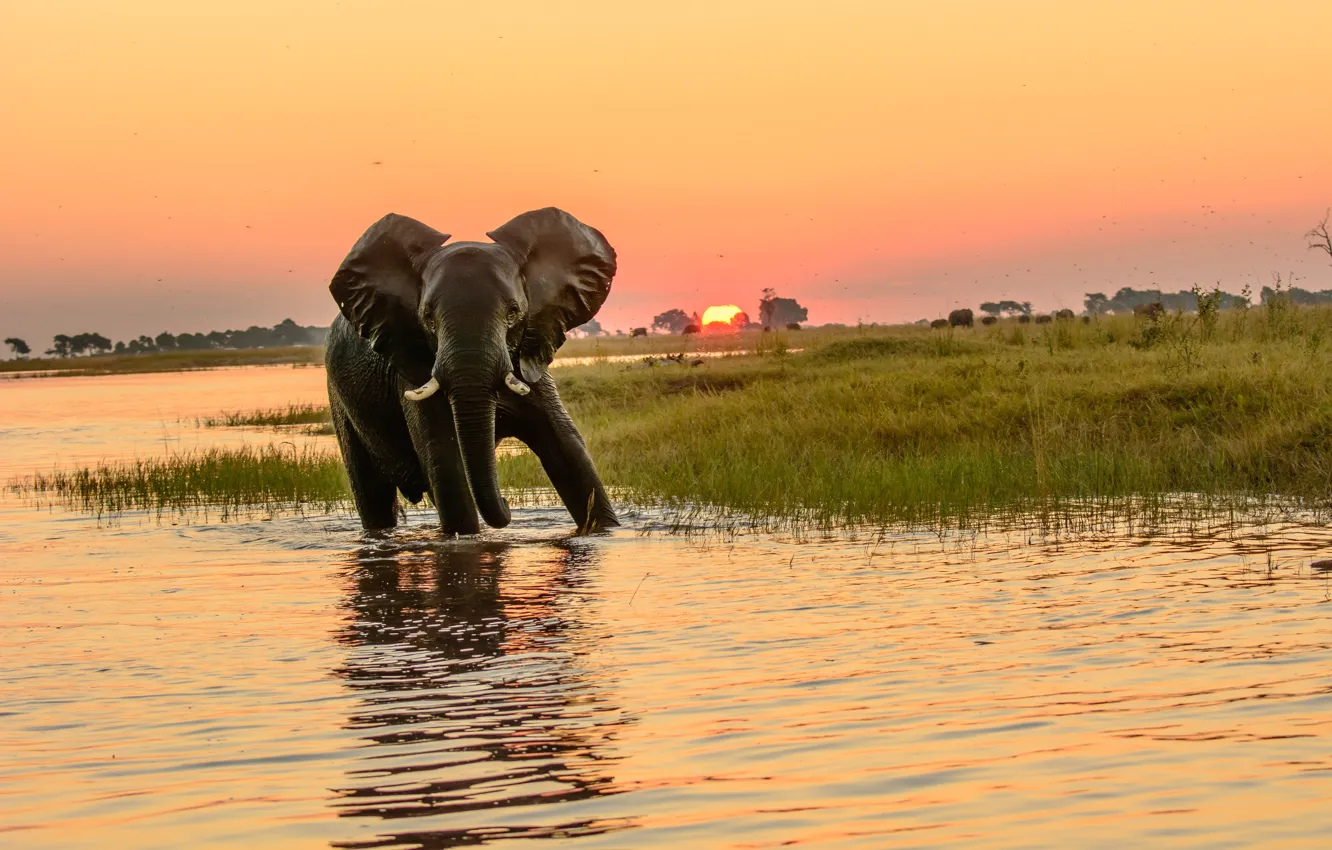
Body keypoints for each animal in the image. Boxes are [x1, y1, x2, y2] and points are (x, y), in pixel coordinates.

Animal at [322, 207, 618, 532]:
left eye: (513, 312)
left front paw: (605, 530)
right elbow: (447, 467)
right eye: (428, 318)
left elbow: (569, 452)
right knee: (372, 495)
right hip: (340, 401)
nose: (508, 505)